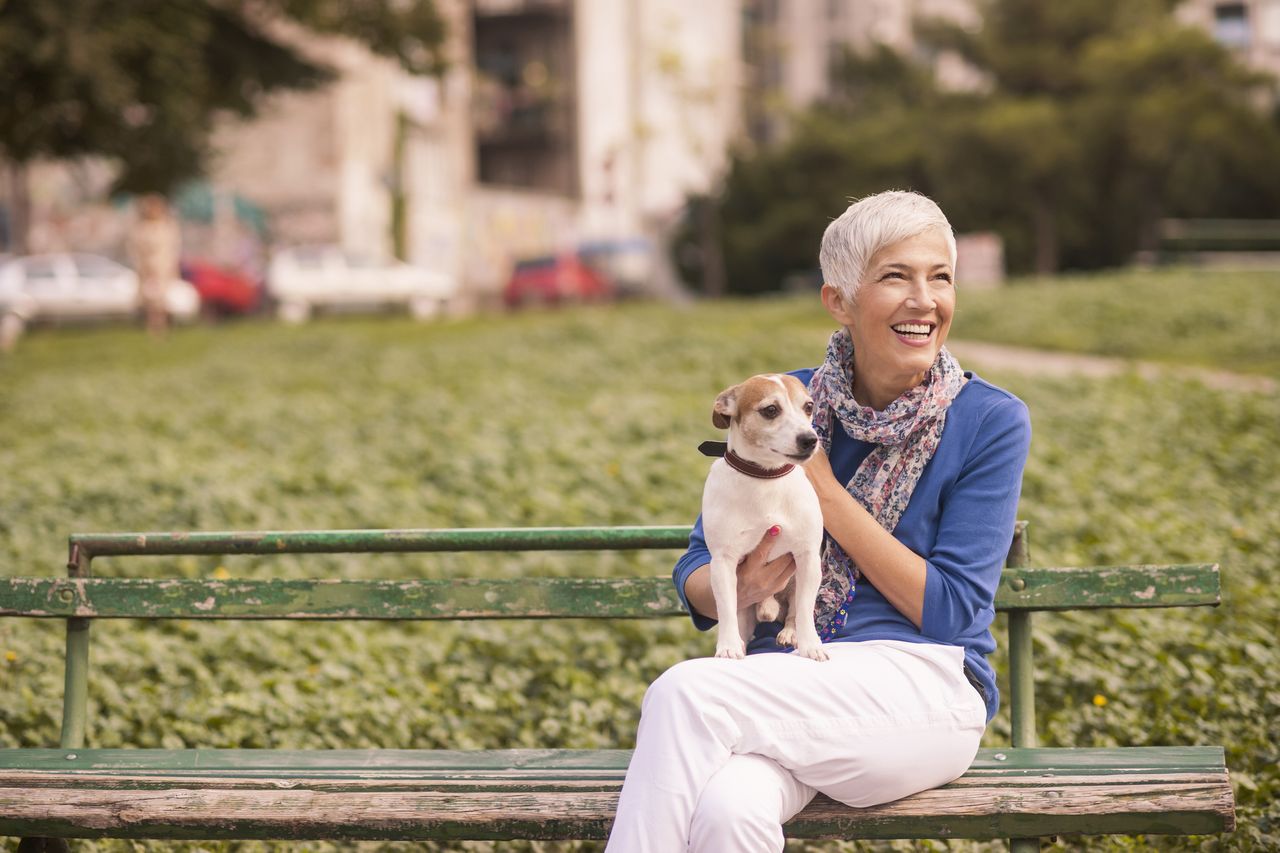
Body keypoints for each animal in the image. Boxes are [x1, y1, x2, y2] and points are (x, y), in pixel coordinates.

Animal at [706, 371, 824, 655]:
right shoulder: (723, 562)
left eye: (808, 407)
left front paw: (811, 645)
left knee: (793, 611)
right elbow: (726, 609)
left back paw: (789, 632)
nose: (810, 439)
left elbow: (805, 610)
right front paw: (728, 647)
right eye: (771, 410)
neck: (766, 477)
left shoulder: (808, 557)